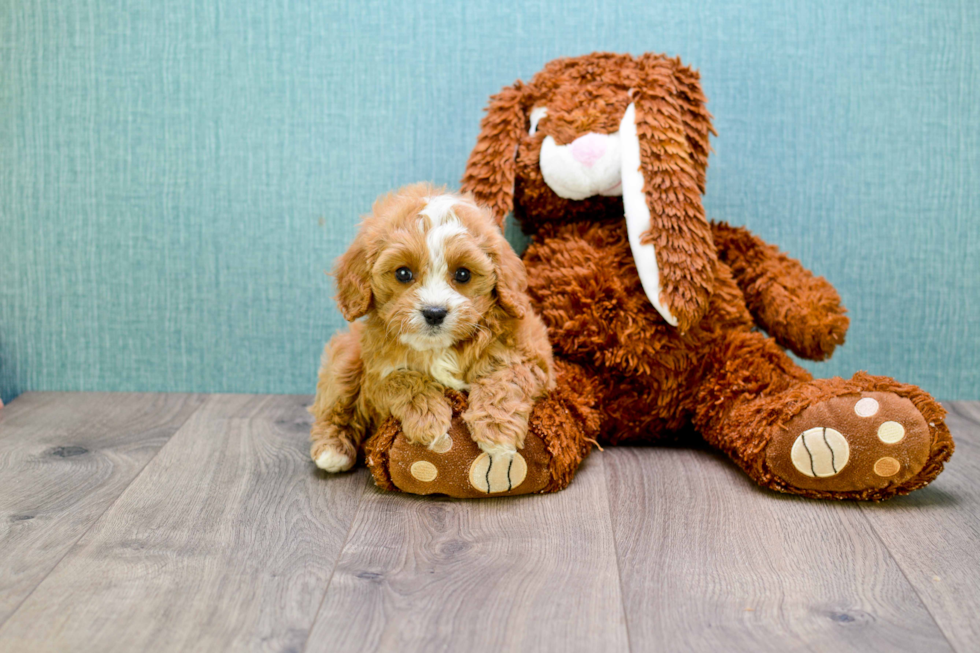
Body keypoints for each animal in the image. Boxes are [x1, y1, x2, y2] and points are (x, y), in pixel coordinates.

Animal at [308, 183, 552, 474]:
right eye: (403, 273)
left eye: (463, 274)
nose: (434, 312)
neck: (438, 347)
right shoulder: (374, 375)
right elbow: (400, 379)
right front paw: (429, 420)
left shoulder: (533, 356)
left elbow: (506, 377)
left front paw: (497, 429)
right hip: (345, 360)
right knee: (334, 403)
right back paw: (332, 450)